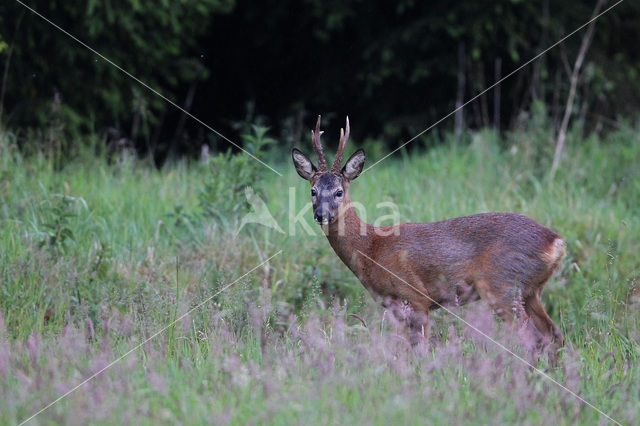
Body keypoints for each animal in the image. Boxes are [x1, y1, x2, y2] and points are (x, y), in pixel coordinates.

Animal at [292, 115, 564, 350]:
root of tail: (556, 242)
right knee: (553, 334)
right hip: (530, 291)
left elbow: (419, 350)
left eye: (339, 192)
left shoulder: (415, 296)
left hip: (503, 284)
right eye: (313, 191)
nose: (321, 214)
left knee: (532, 338)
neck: (371, 248)